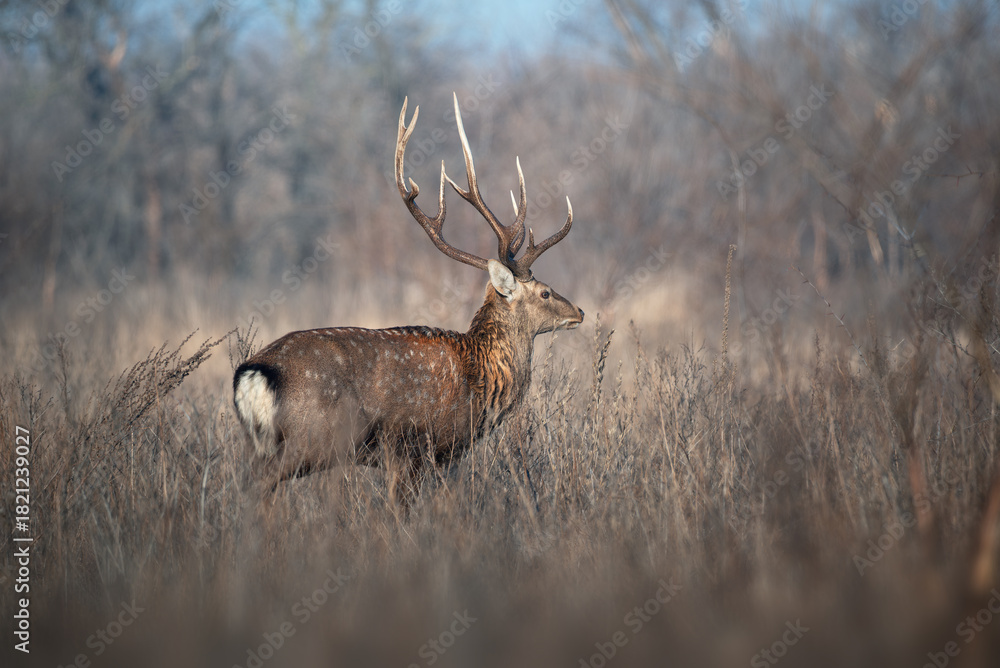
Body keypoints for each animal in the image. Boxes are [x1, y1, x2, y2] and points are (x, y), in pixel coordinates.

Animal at [233, 93, 584, 505]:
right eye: (545, 291)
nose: (579, 311)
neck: (480, 380)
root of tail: (252, 374)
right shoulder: (413, 448)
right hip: (309, 437)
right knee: (260, 486)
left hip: (259, 441)